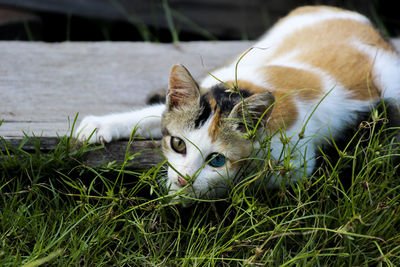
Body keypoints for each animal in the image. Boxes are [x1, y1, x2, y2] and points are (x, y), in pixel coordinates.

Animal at [75, 5, 400, 205]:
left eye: (217, 160)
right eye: (178, 144)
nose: (183, 179)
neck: (240, 93)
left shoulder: (297, 164)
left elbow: (243, 181)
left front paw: (183, 191)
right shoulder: (209, 90)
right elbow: (153, 115)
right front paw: (99, 125)